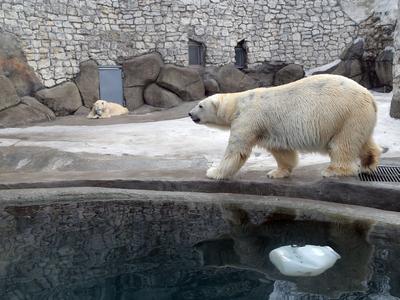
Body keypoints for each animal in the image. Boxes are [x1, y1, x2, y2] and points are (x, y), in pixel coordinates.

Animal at [189, 74, 380, 179]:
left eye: (200, 105)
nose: (190, 114)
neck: (237, 104)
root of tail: (370, 96)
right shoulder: (270, 129)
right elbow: (281, 151)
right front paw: (276, 172)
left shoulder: (248, 119)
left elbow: (236, 151)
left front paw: (213, 172)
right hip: (358, 118)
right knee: (363, 141)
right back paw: (368, 163)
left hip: (346, 114)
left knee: (342, 145)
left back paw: (333, 170)